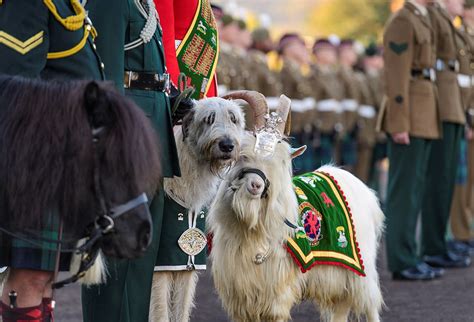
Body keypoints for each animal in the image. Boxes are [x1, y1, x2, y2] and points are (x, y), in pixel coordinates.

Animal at [150, 94, 248, 320]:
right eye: (208, 119)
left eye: (234, 118)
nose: (227, 145)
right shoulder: (161, 263)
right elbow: (161, 312)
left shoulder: (187, 262)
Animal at [208, 130, 386, 320]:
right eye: (243, 157)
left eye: (278, 163)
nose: (256, 185)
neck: (252, 229)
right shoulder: (241, 291)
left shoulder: (276, 288)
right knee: (341, 307)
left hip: (362, 267)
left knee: (370, 304)